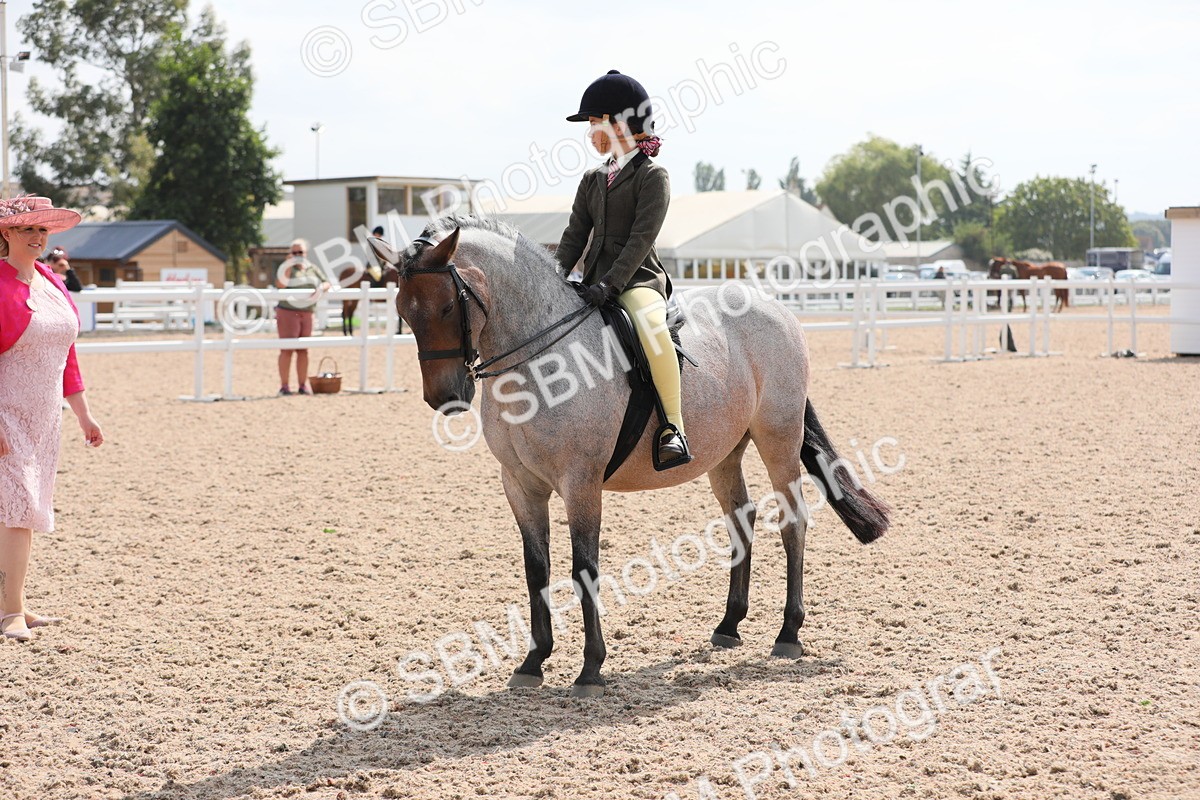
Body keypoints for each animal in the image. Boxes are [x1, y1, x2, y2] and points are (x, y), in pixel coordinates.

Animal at [370, 217, 890, 697]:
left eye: (445, 306)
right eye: (402, 311)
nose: (444, 398)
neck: (539, 360)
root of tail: (777, 309)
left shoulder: (580, 483)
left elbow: (584, 568)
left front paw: (590, 670)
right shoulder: (519, 484)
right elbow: (537, 569)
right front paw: (533, 662)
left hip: (777, 437)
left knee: (792, 521)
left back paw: (788, 633)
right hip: (724, 452)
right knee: (741, 519)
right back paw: (728, 626)